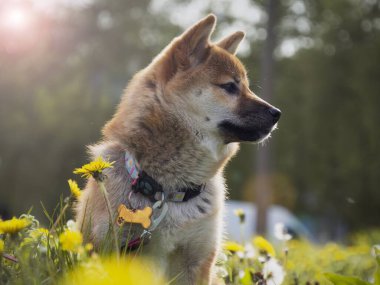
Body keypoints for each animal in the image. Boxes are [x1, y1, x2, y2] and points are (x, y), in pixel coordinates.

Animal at [75, 13, 280, 284]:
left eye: (246, 86)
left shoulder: (197, 258)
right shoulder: (114, 246)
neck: (167, 192)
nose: (277, 113)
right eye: (229, 87)